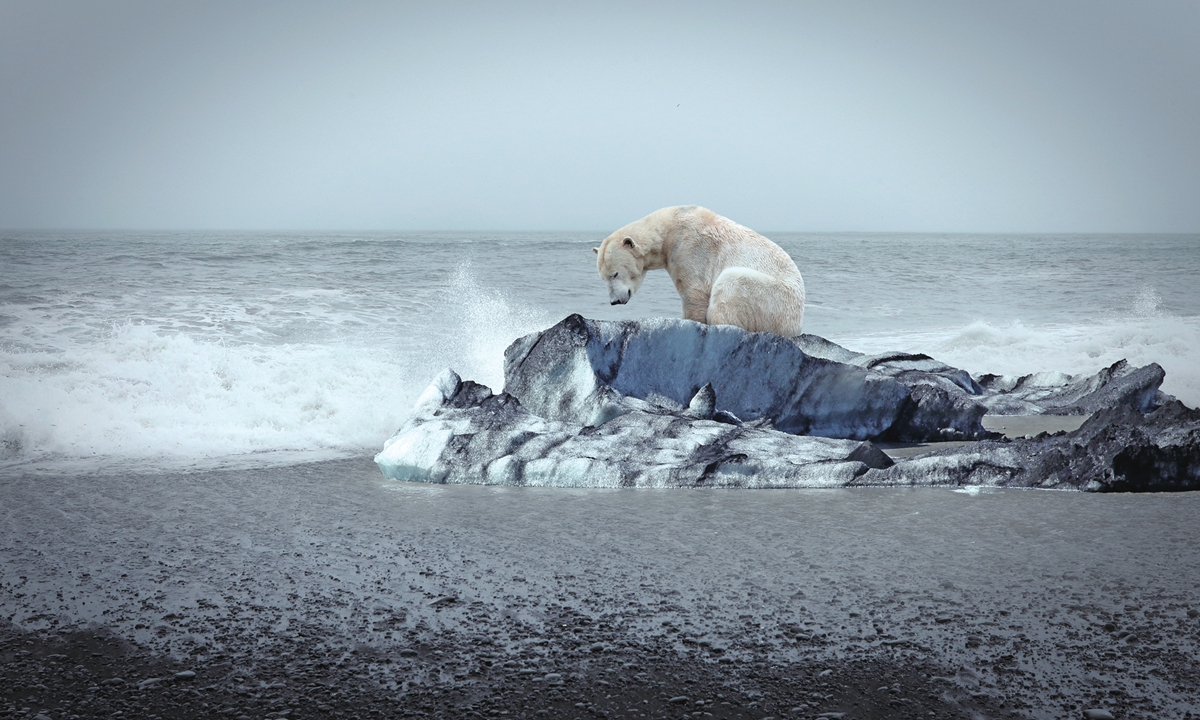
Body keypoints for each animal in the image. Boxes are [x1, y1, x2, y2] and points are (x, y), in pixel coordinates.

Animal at [594, 206, 806, 336]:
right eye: (603, 278)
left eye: (615, 274)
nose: (614, 301)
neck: (670, 229)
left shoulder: (690, 250)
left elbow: (693, 295)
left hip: (774, 299)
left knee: (731, 283)